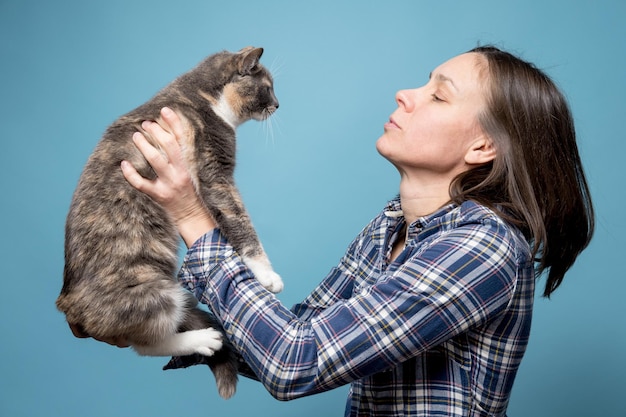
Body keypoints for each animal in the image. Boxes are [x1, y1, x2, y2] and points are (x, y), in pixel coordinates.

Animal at [57, 46, 282, 400]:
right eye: (268, 87)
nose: (278, 104)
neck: (202, 97)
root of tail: (69, 307)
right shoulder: (215, 173)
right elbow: (241, 223)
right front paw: (267, 276)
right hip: (157, 295)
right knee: (146, 343)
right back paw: (205, 339)